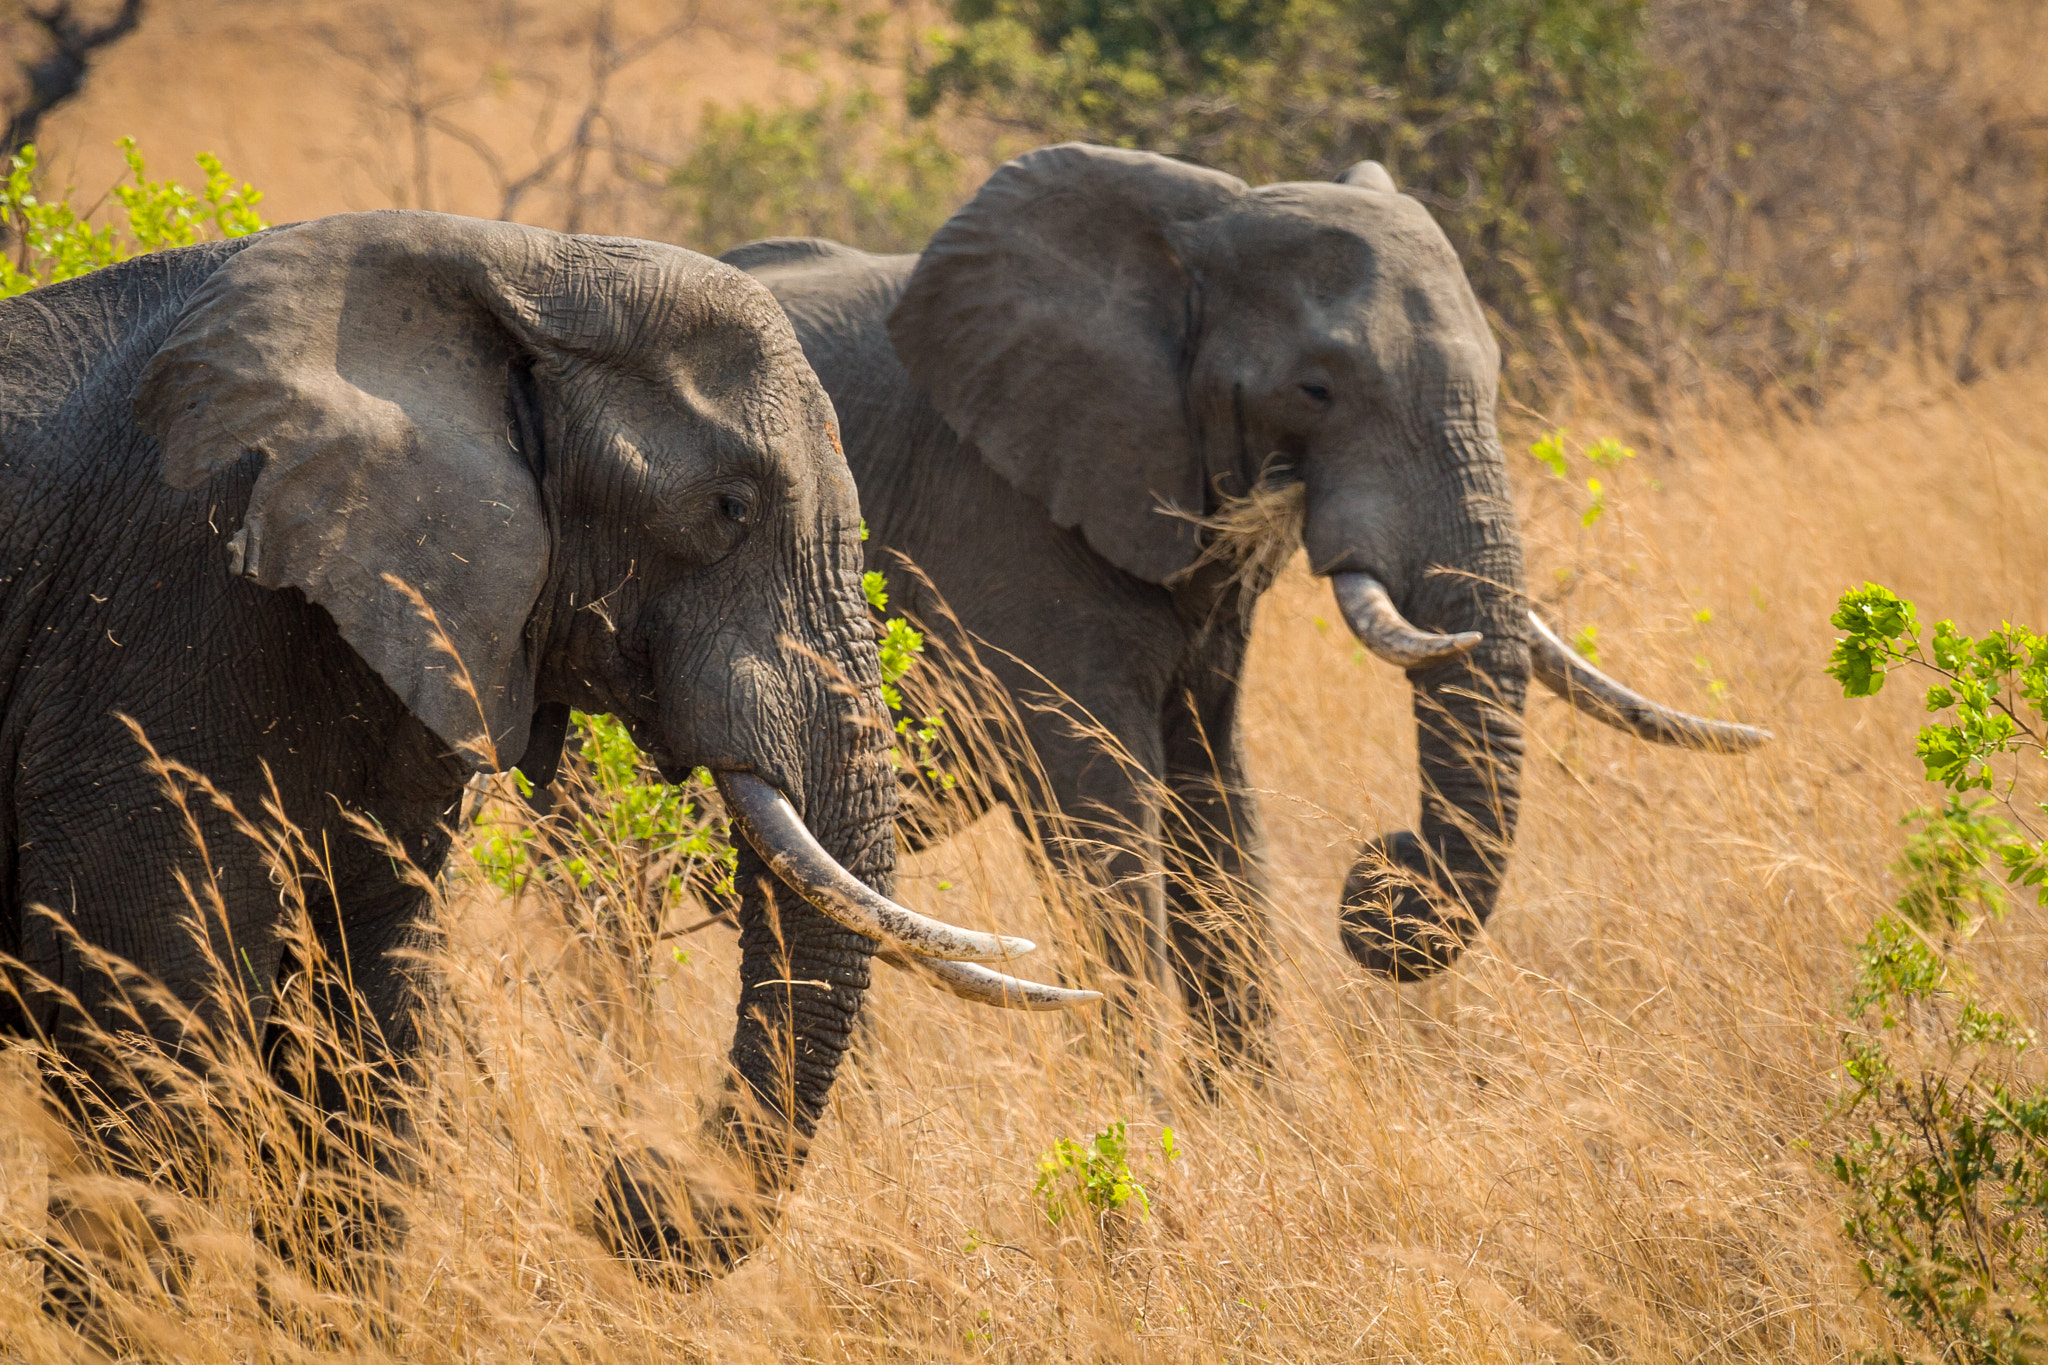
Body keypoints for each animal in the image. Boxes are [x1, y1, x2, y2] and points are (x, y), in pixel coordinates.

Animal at [0, 205, 1089, 1309]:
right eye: (729, 509)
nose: (618, 1183)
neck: (519, 266)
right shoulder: (165, 615)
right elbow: (152, 1025)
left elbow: (367, 1007)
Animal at [729, 147, 1769, 1064]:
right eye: (1316, 388)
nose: (1381, 871)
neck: (1188, 234)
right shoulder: (1000, 519)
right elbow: (1100, 806)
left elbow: (1215, 804)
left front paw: (1257, 1126)